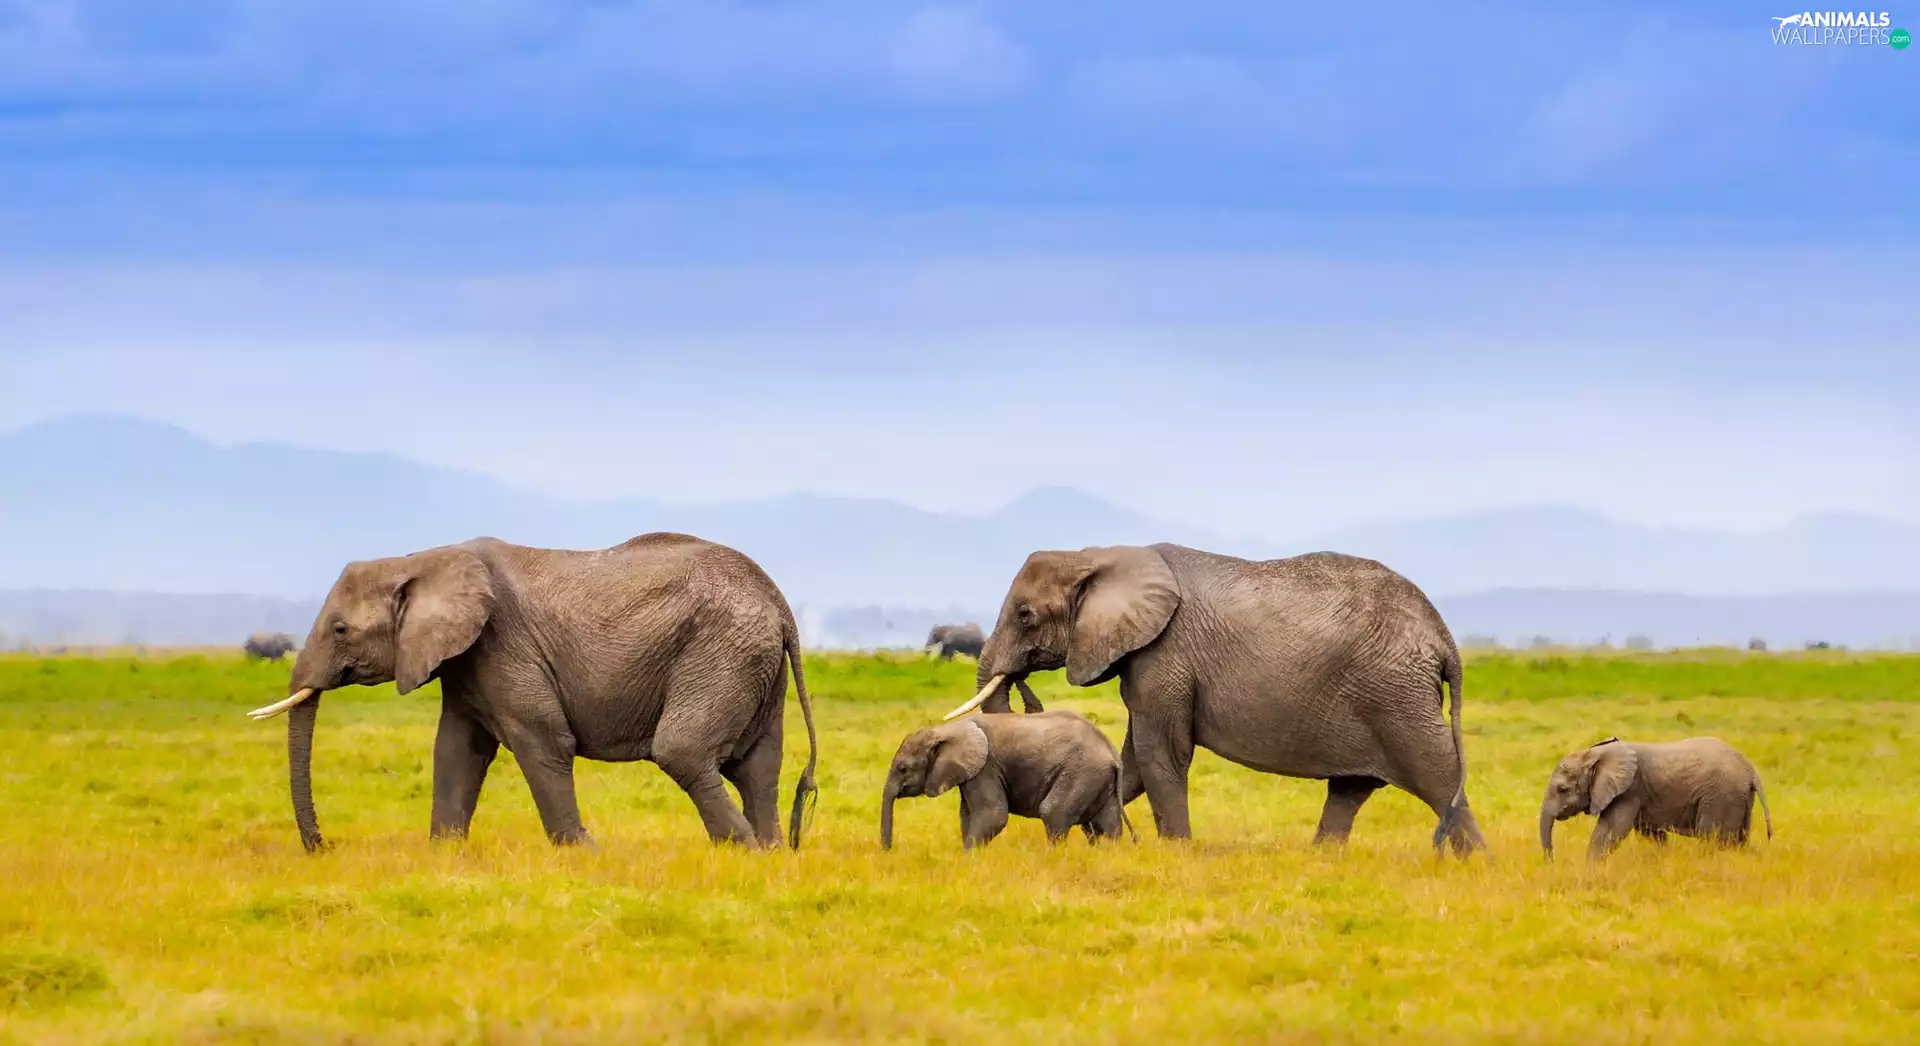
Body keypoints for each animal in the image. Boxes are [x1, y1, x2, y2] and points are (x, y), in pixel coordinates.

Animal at [245, 532, 819, 853]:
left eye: (341, 630)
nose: (322, 847)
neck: (420, 560)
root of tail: (779, 604)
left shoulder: (504, 645)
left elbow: (542, 741)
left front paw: (585, 855)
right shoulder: (468, 662)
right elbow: (457, 750)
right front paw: (443, 855)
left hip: (720, 650)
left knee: (684, 751)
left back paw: (743, 850)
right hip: (752, 664)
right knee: (757, 766)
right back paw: (769, 853)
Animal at [879, 711, 1135, 850]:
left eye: (903, 769)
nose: (889, 850)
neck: (945, 729)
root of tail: (1112, 754)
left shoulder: (986, 767)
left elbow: (993, 815)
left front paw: (968, 860)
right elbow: (966, 816)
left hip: (1081, 772)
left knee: (1054, 812)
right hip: (1098, 778)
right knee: (1105, 823)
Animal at [944, 544, 1485, 856]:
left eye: (1025, 614)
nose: (1024, 688)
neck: (1098, 554)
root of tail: (1443, 638)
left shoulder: (1165, 654)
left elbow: (1158, 752)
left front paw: (1176, 854)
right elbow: (1132, 760)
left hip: (1397, 697)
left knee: (1438, 777)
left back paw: (1477, 864)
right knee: (1351, 789)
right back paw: (1321, 860)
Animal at [1539, 736, 1772, 861]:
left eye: (1562, 789)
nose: (1552, 862)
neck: (1596, 753)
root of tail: (1751, 771)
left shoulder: (1629, 791)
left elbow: (1610, 831)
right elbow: (1651, 835)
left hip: (1721, 796)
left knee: (1713, 839)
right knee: (1738, 840)